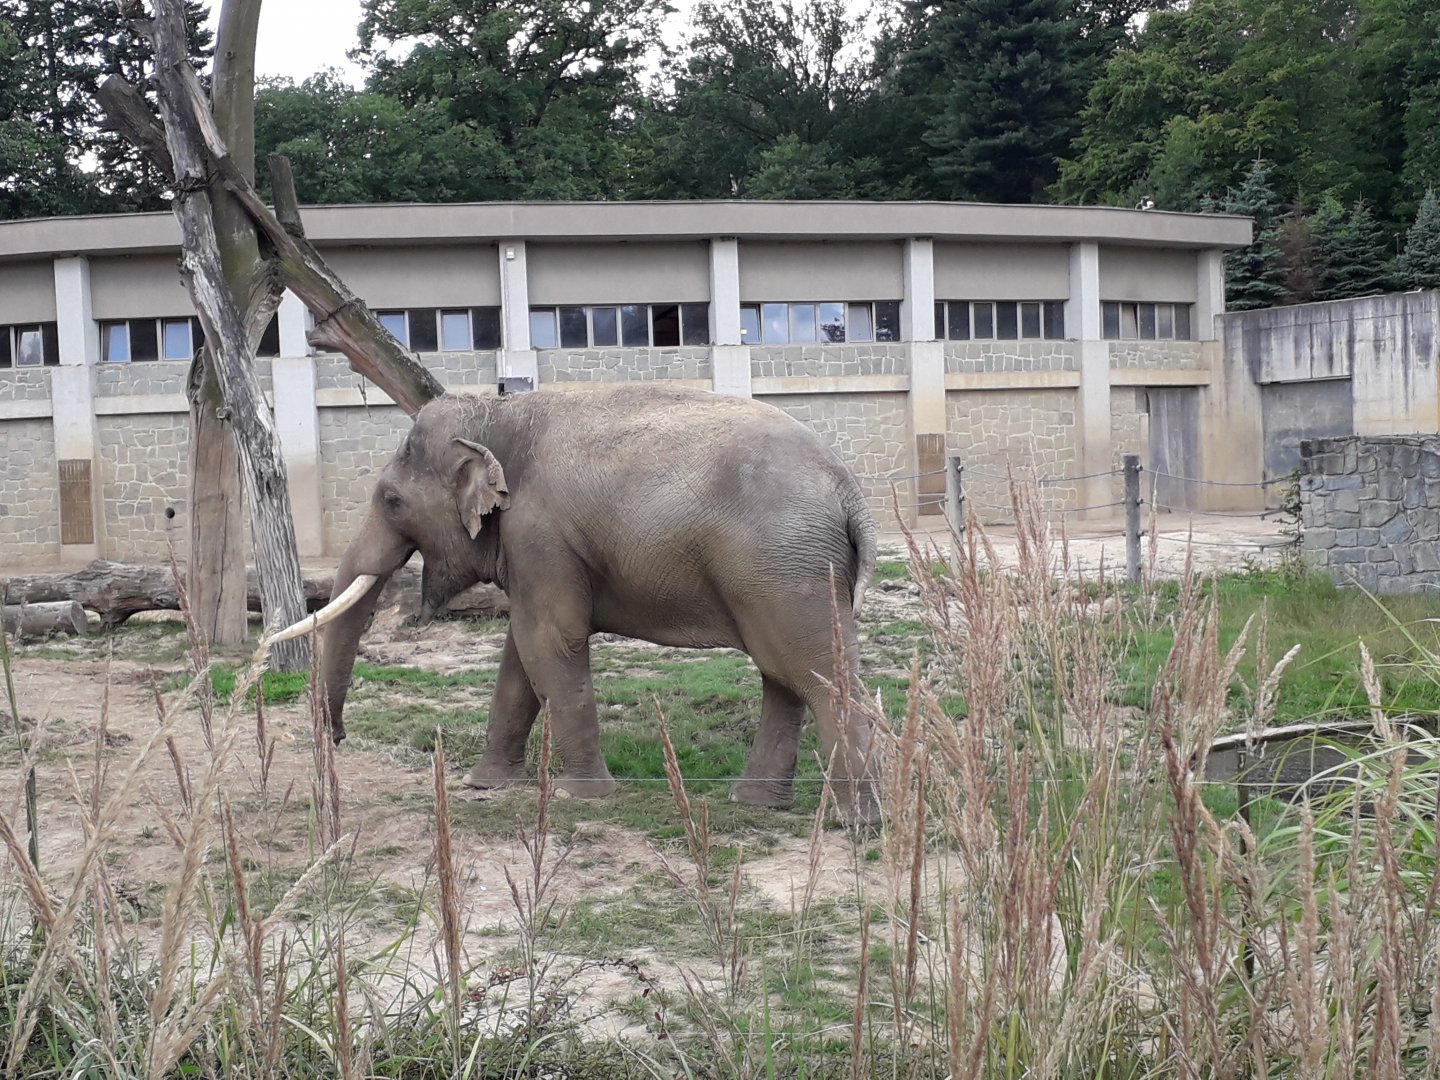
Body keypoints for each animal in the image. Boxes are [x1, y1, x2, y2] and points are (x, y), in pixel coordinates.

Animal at [273, 384, 881, 822]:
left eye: (392, 500)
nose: (337, 738)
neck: (497, 411)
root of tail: (849, 490)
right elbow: (521, 652)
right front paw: (487, 784)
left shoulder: (539, 533)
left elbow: (549, 637)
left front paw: (581, 794)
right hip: (791, 571)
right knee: (784, 674)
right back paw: (756, 804)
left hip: (783, 566)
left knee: (814, 674)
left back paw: (853, 821)